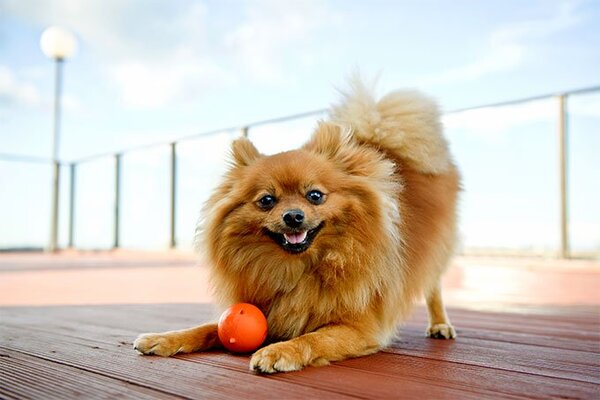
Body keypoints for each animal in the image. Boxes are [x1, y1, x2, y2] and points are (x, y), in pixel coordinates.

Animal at [135, 79, 460, 374]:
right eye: (267, 200)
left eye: (314, 195)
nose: (293, 216)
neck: (299, 269)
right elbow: (207, 328)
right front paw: (164, 338)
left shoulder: (360, 326)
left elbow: (314, 338)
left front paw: (280, 351)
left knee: (434, 288)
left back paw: (440, 324)